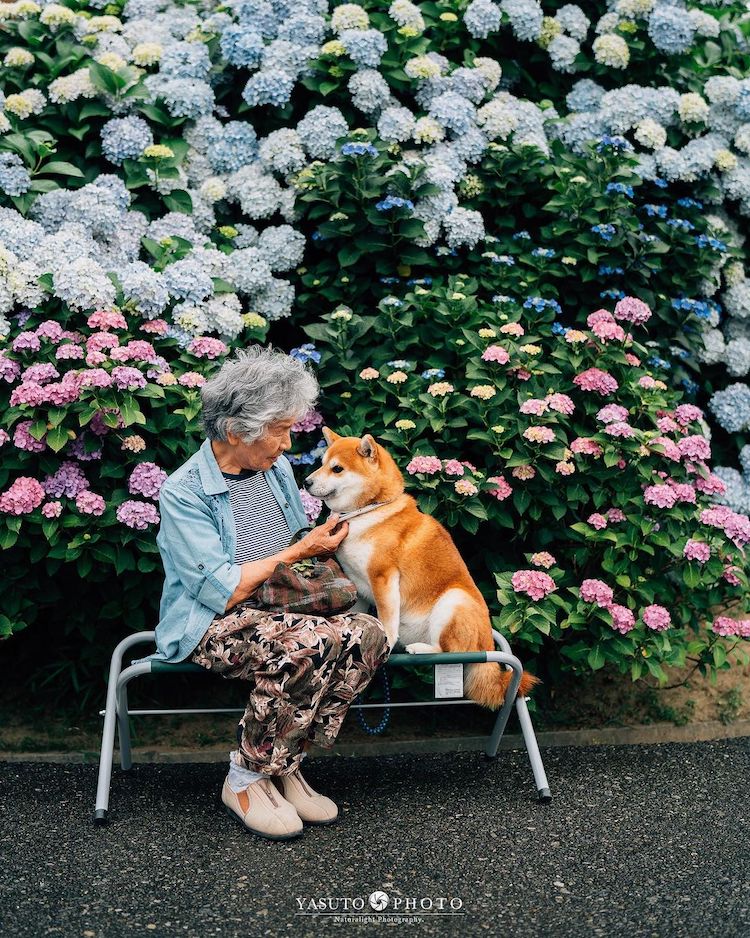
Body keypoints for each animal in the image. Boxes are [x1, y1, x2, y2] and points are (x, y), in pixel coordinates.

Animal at [302, 428, 544, 704]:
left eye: (337, 468)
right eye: (322, 464)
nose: (306, 482)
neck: (367, 513)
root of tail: (488, 648)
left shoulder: (383, 577)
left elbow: (386, 620)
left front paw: (386, 642)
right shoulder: (357, 583)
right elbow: (360, 614)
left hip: (453, 601)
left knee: (449, 650)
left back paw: (421, 648)